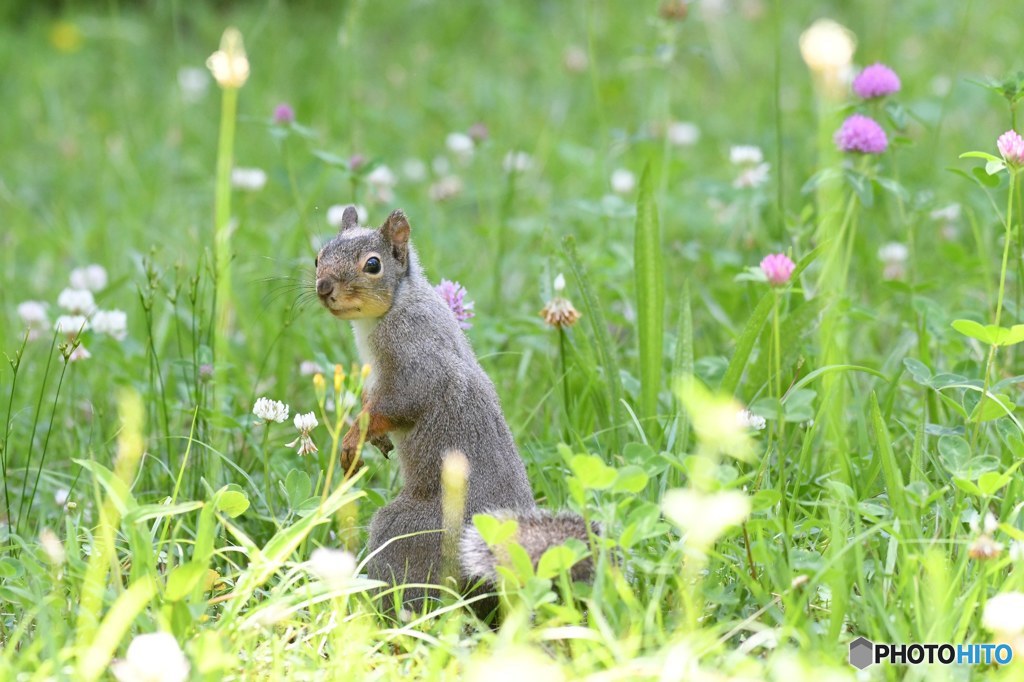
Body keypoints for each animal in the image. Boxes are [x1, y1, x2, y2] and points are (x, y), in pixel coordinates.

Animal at [315, 205, 598, 606]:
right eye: (318, 257)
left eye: (373, 264)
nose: (324, 288)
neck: (396, 305)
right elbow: (373, 402)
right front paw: (371, 435)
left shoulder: (417, 359)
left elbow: (400, 404)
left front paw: (356, 436)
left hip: (409, 535)